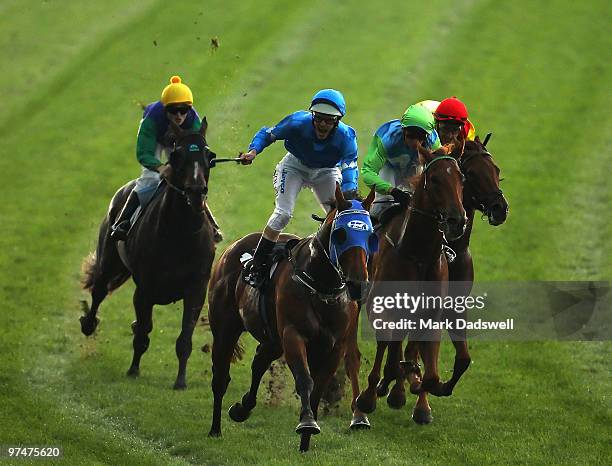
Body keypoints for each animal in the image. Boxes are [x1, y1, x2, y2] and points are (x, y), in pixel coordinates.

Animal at [80, 119, 216, 390]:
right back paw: (89, 324)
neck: (180, 235)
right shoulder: (144, 290)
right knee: (99, 290)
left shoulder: (196, 288)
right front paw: (133, 370)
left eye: (209, 155)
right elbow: (143, 331)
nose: (196, 191)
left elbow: (184, 339)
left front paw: (180, 381)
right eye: (176, 155)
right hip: (109, 259)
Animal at [208, 186, 376, 452]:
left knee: (259, 361)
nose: (358, 283)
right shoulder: (293, 335)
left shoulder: (334, 346)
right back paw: (215, 429)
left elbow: (318, 389)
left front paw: (305, 444)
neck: (322, 287)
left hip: (273, 340)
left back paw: (242, 408)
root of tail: (233, 247)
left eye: (370, 235)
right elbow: (305, 380)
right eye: (340, 234)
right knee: (220, 377)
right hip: (225, 328)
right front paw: (307, 423)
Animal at [356, 147, 466, 424]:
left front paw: (421, 396)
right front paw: (369, 395)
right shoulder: (380, 308)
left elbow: (430, 374)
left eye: (462, 178)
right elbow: (386, 348)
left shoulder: (430, 314)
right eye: (435, 180)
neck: (418, 255)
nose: (457, 220)